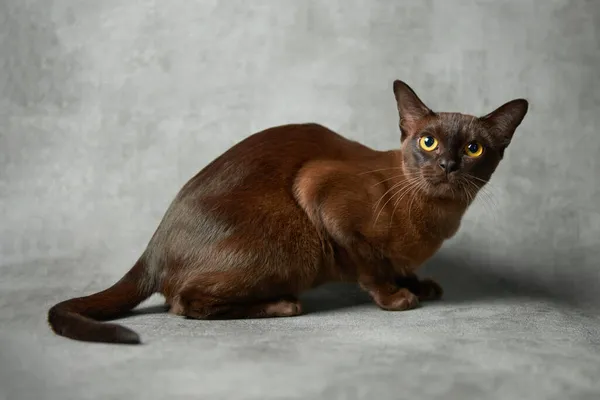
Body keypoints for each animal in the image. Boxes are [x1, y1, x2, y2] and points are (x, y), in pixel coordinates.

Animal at [47, 80, 528, 344]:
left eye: (473, 149)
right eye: (428, 142)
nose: (447, 164)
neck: (438, 216)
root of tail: (152, 248)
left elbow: (397, 265)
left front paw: (419, 285)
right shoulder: (321, 191)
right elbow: (371, 266)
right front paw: (397, 299)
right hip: (294, 244)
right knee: (182, 303)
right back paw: (282, 306)